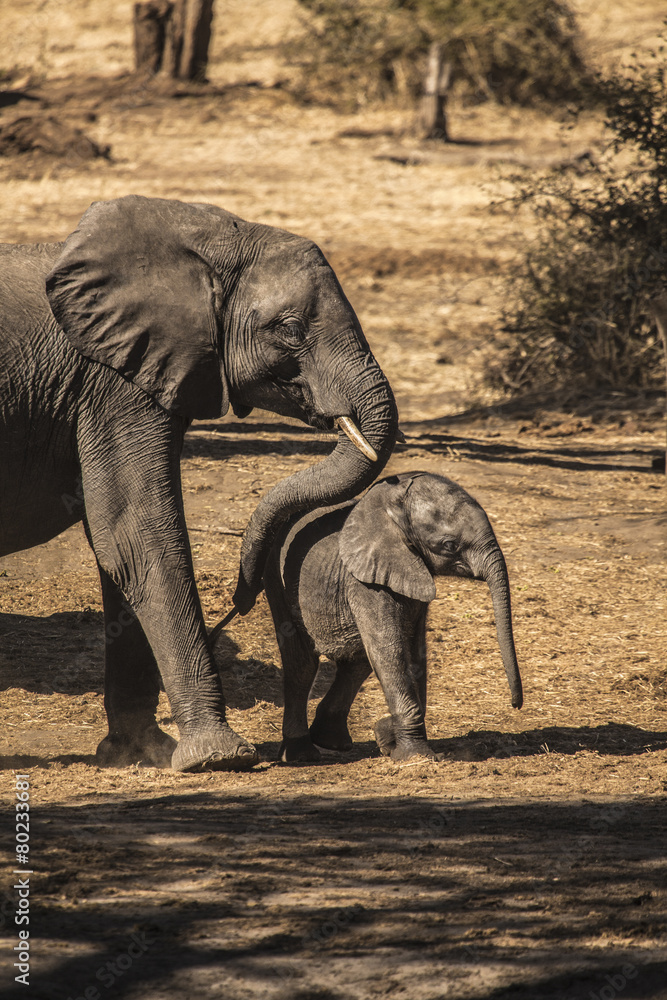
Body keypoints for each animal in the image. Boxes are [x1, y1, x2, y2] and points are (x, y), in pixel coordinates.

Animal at [0, 195, 398, 772]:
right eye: (291, 329)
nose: (242, 595)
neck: (207, 238)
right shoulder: (113, 384)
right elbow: (137, 533)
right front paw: (218, 758)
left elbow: (117, 543)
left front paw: (144, 753)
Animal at [260, 472, 523, 763]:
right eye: (449, 545)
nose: (515, 705)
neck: (391, 508)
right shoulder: (363, 582)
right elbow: (391, 651)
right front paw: (415, 756)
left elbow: (414, 651)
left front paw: (387, 738)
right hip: (276, 577)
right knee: (302, 663)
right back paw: (301, 754)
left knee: (358, 660)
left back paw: (332, 742)